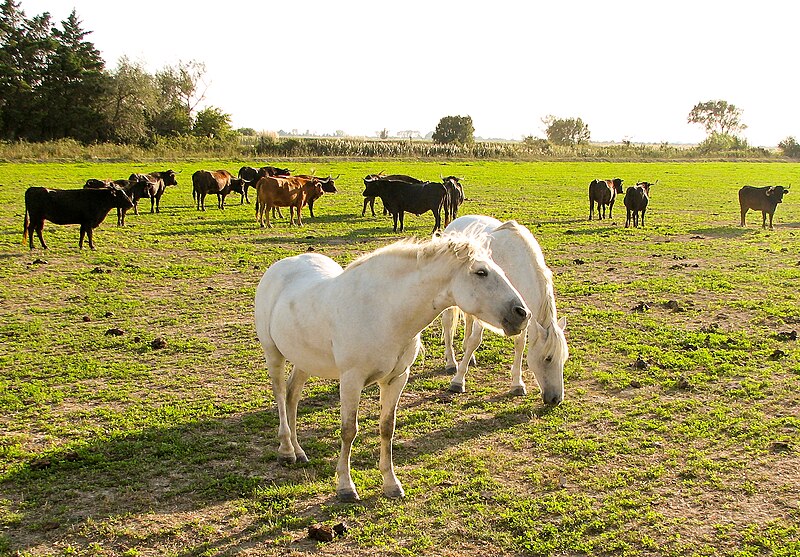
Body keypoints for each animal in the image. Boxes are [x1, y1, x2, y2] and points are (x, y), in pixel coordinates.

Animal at [256, 230, 532, 500]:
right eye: (481, 272)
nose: (522, 313)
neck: (383, 311)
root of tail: (281, 266)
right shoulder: (351, 380)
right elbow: (348, 430)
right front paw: (345, 487)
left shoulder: (396, 378)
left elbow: (387, 428)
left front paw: (391, 484)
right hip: (274, 355)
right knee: (280, 394)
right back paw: (286, 450)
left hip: (304, 360)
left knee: (292, 395)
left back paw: (299, 451)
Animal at [444, 214, 568, 404]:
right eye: (548, 358)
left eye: (564, 359)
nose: (556, 399)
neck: (515, 264)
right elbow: (475, 341)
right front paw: (458, 381)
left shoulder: (521, 314)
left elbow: (520, 344)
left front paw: (517, 384)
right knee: (447, 326)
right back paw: (451, 362)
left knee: (468, 321)